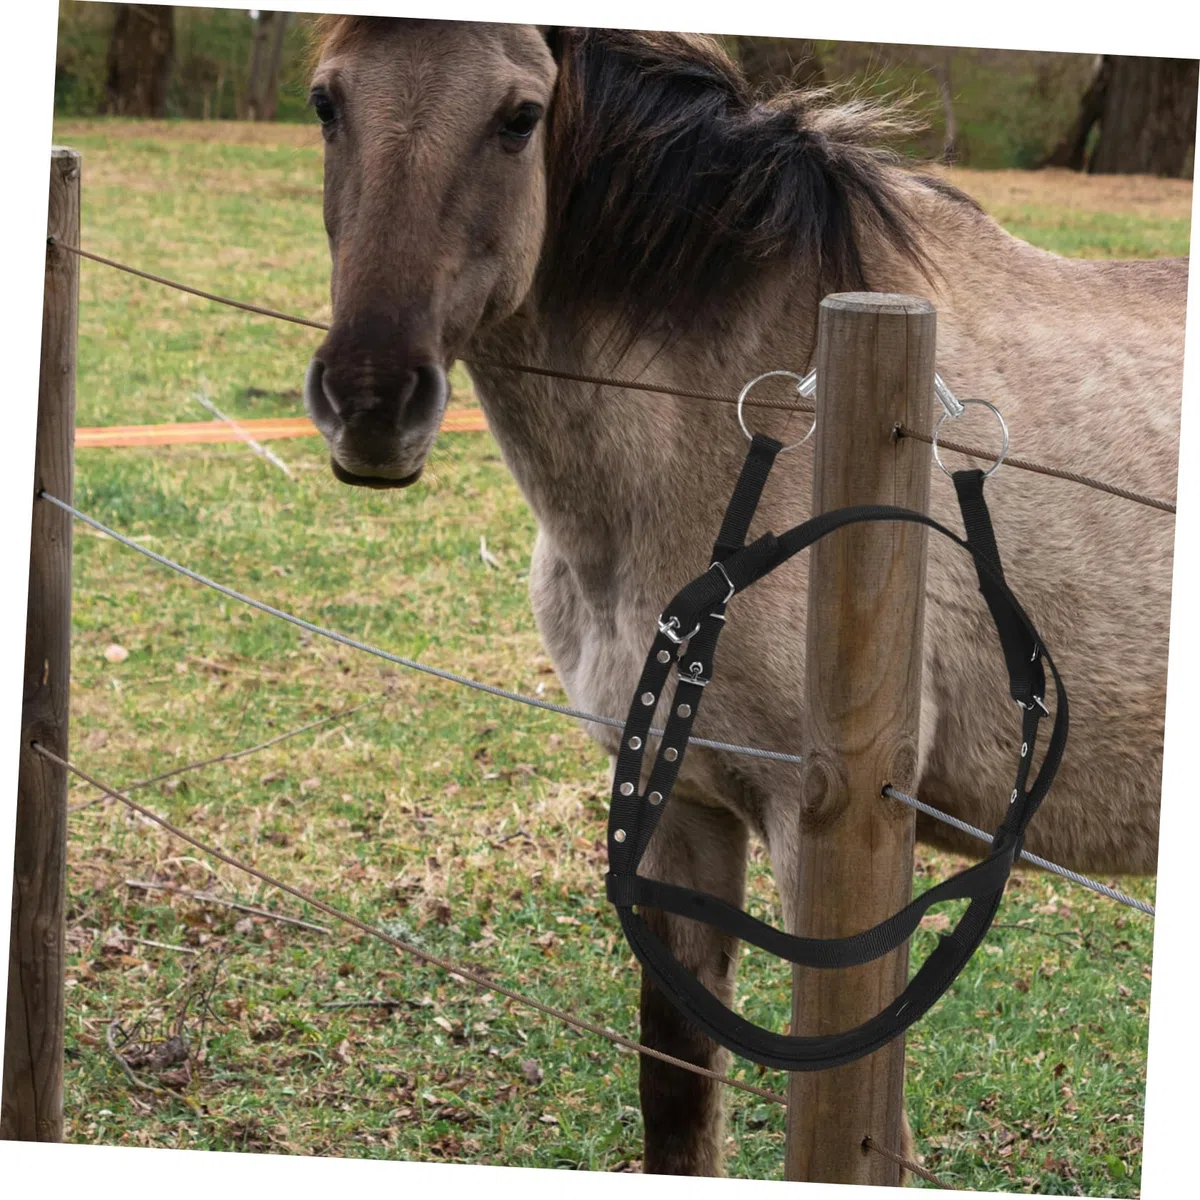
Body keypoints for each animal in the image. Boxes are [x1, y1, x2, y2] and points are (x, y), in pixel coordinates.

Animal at [301, 19, 1186, 1177]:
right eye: (326, 102)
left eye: (520, 116)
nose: (370, 402)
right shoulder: (679, 809)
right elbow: (678, 1095)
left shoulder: (832, 842)